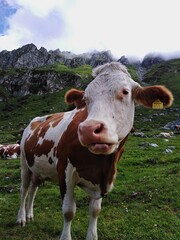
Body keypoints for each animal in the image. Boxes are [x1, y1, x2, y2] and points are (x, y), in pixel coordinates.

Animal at [16, 62, 173, 240]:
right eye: (85, 98)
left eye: (125, 92)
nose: (88, 130)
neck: (101, 164)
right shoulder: (65, 171)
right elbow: (68, 211)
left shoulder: (100, 181)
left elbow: (95, 210)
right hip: (24, 163)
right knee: (24, 190)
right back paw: (21, 218)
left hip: (38, 168)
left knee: (33, 189)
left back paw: (29, 215)